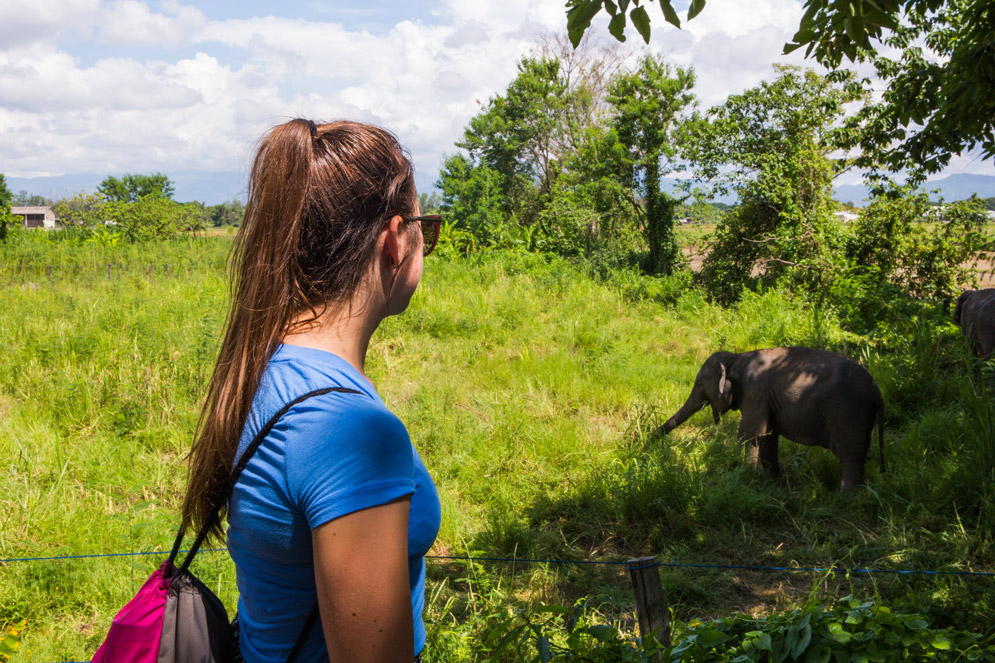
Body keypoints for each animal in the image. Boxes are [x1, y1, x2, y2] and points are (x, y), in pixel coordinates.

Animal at [660, 348, 888, 492]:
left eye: (699, 385)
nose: (652, 440)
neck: (736, 358)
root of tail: (877, 391)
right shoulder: (767, 400)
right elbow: (769, 437)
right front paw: (773, 483)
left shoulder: (756, 393)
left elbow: (750, 435)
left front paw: (747, 480)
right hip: (864, 419)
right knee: (861, 454)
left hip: (850, 413)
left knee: (850, 456)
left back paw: (846, 499)